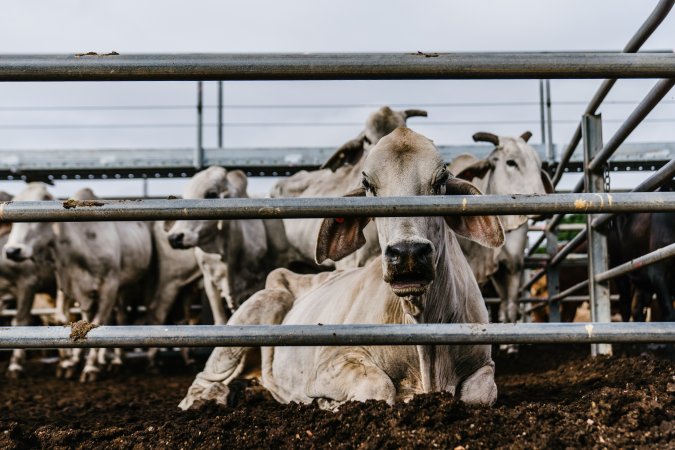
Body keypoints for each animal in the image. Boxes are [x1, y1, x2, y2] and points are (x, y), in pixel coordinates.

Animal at [180, 127, 508, 412]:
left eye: (441, 179)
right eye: (368, 185)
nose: (408, 253)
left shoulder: (484, 364)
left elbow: (481, 393)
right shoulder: (331, 364)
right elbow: (378, 388)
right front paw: (326, 403)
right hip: (260, 308)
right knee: (203, 381)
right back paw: (208, 398)